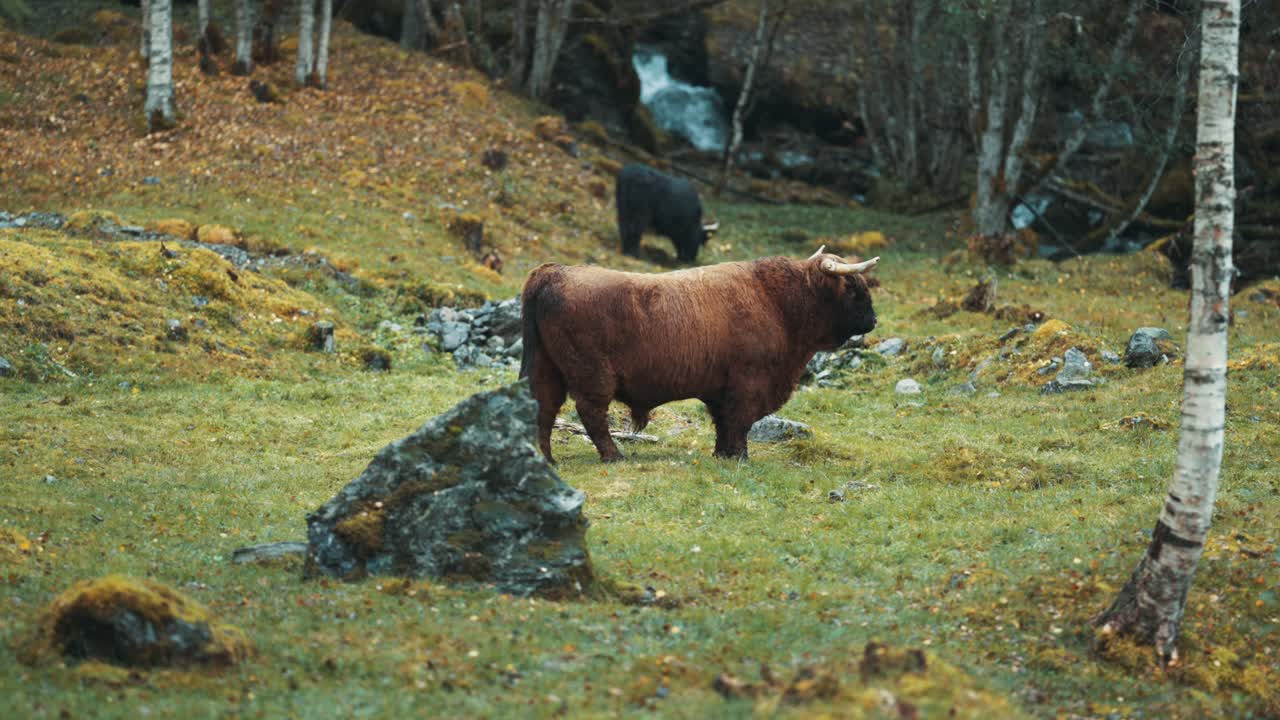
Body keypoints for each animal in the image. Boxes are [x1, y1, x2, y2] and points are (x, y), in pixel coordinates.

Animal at [519, 247, 879, 463]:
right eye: (852, 287)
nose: (873, 320)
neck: (777, 300)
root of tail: (554, 272)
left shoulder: (720, 388)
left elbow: (724, 422)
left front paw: (723, 454)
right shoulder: (748, 382)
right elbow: (739, 422)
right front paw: (740, 457)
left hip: (547, 369)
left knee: (544, 408)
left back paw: (546, 459)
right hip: (592, 375)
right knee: (590, 413)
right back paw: (613, 455)